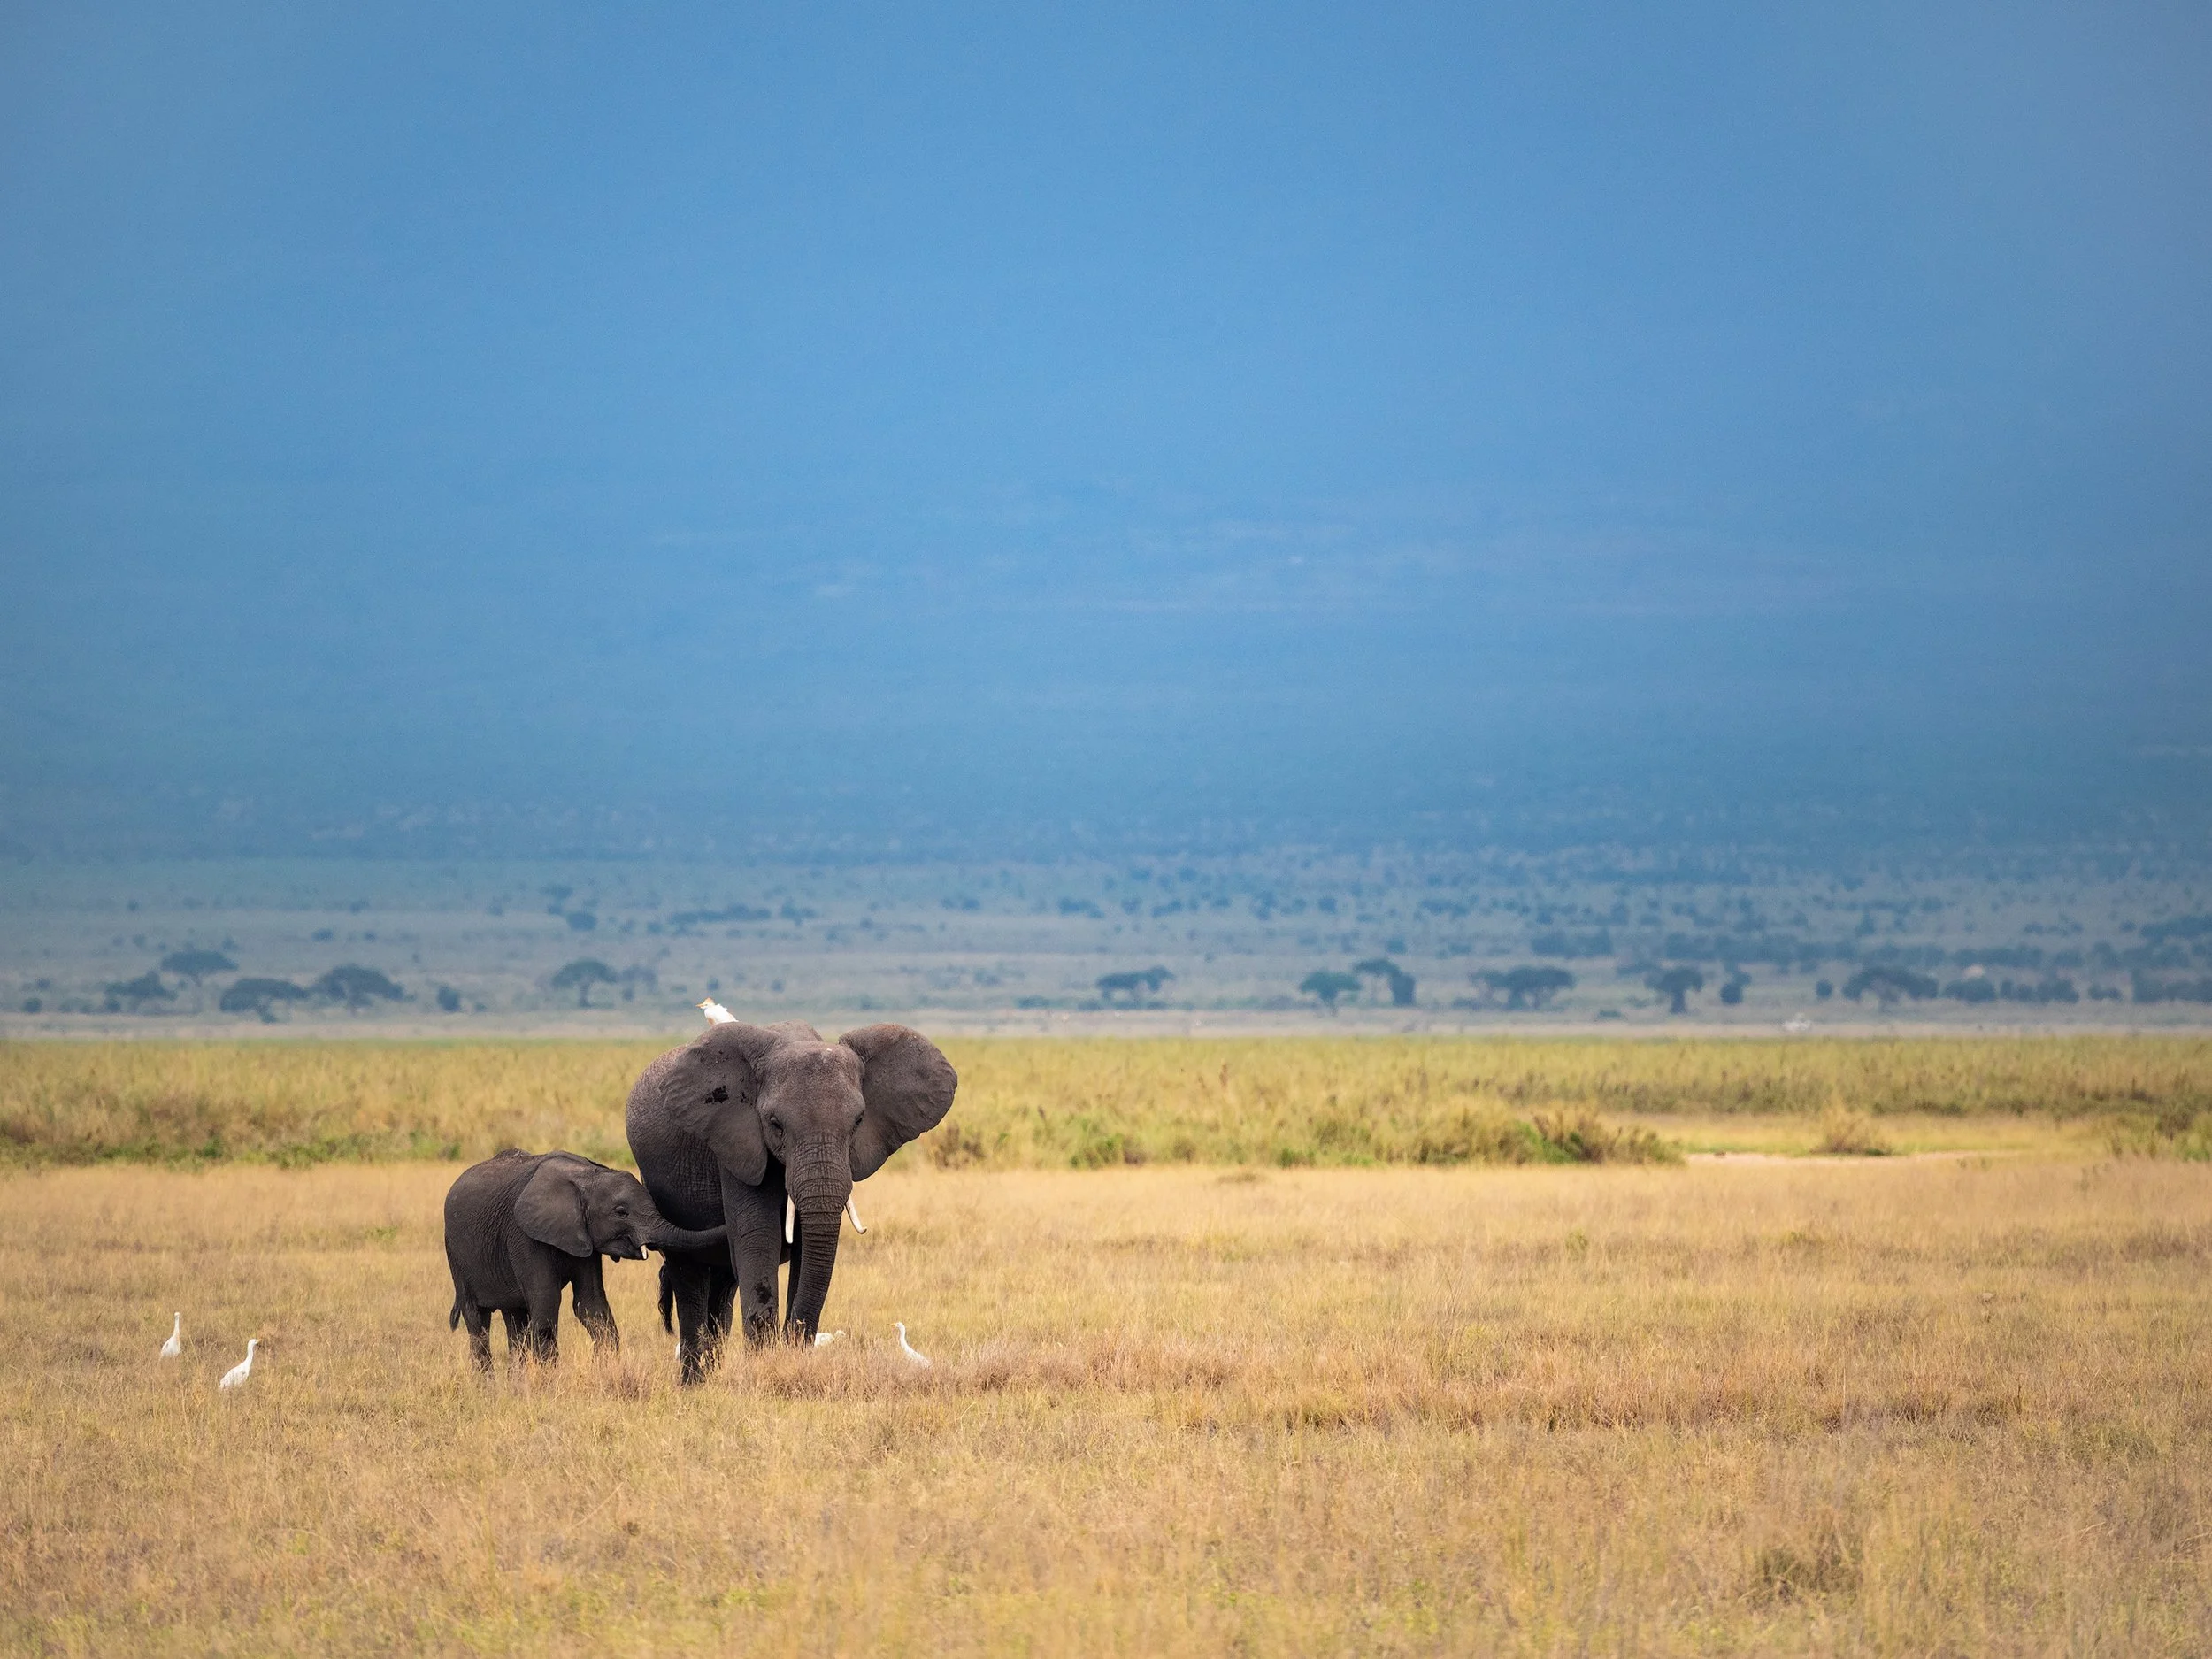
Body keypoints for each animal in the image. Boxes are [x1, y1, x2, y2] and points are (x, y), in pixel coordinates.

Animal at [443, 1148, 726, 1370]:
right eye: (621, 1212)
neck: (587, 1176)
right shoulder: (524, 1235)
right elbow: (546, 1301)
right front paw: (549, 1381)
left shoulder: (583, 1237)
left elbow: (590, 1304)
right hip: (455, 1254)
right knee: (477, 1319)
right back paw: (487, 1385)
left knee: (515, 1317)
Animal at [625, 1019, 956, 1380]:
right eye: (775, 1123)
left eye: (858, 1122)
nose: (793, 1340)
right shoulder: (735, 1139)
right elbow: (759, 1237)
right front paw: (763, 1368)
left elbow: (805, 1250)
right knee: (689, 1277)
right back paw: (695, 1384)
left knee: (723, 1283)